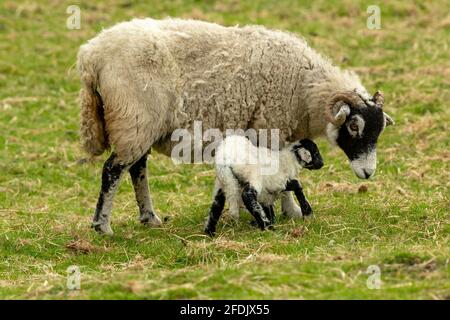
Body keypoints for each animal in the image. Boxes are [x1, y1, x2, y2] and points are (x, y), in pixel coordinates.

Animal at [77, 18, 394, 236]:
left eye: (379, 131)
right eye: (353, 126)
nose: (368, 173)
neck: (305, 90)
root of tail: (92, 55)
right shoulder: (271, 128)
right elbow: (283, 173)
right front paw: (289, 211)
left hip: (142, 124)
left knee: (137, 168)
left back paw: (149, 218)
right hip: (134, 117)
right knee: (113, 170)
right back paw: (102, 226)